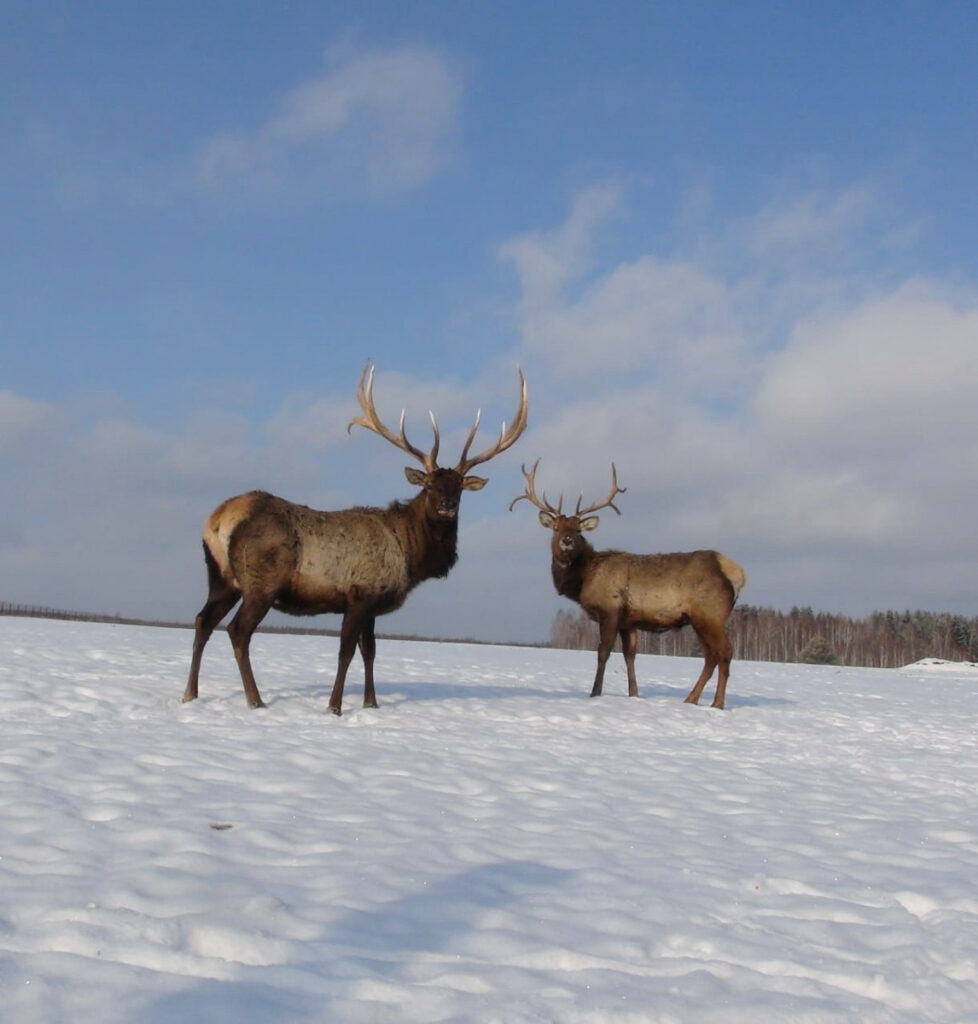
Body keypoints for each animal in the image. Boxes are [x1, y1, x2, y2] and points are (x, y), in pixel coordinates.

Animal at [187, 366, 532, 712]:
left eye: (459, 487)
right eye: (430, 485)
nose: (447, 505)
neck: (410, 555)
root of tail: (219, 519)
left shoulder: (372, 604)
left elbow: (371, 652)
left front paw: (372, 704)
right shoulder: (359, 593)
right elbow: (346, 651)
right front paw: (335, 706)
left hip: (222, 578)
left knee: (203, 620)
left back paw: (190, 693)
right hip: (261, 582)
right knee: (238, 631)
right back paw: (255, 700)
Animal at [507, 460, 745, 708]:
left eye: (578, 529)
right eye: (556, 528)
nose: (567, 540)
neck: (583, 579)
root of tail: (736, 572)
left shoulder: (610, 609)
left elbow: (603, 652)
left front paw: (595, 692)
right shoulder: (628, 621)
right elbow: (630, 655)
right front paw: (634, 693)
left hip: (710, 613)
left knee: (724, 653)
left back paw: (717, 704)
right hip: (700, 619)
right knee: (710, 656)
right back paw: (691, 699)